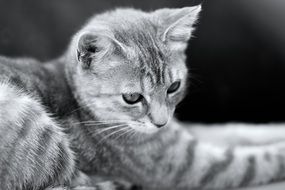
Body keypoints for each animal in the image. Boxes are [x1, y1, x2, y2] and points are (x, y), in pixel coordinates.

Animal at [0, 4, 284, 190]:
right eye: (132, 97)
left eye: (174, 86)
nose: (161, 122)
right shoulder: (189, 165)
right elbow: (254, 160)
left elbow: (236, 130)